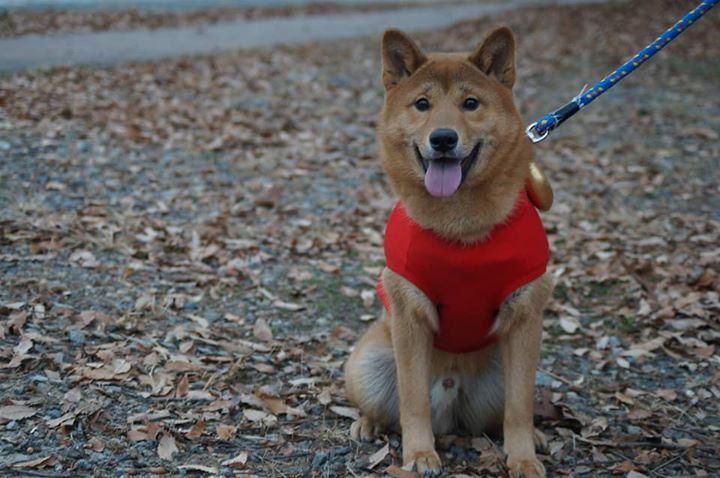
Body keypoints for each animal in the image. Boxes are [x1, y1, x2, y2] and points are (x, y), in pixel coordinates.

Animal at [346, 28, 556, 476]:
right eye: (422, 104)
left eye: (470, 104)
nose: (443, 138)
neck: (461, 229)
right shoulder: (409, 316)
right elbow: (412, 402)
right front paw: (419, 454)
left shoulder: (525, 317)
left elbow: (519, 408)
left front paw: (523, 457)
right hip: (368, 363)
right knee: (385, 406)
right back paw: (368, 424)